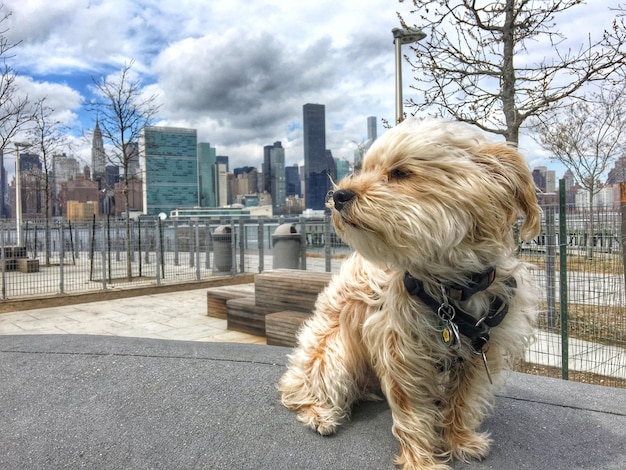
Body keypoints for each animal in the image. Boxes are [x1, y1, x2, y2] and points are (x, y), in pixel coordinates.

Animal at [276, 118, 540, 470]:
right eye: (364, 169)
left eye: (401, 173)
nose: (340, 194)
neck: (451, 286)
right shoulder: (400, 349)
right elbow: (413, 412)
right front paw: (423, 462)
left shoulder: (480, 352)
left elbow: (462, 399)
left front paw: (459, 440)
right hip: (333, 353)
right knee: (297, 390)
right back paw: (320, 413)